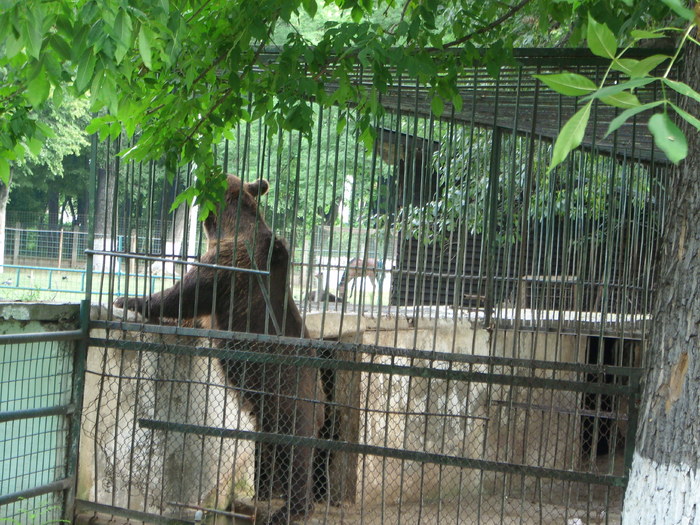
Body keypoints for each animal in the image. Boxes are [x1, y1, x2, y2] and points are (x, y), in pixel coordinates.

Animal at [115, 174, 322, 524]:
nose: (191, 173)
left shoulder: (230, 267)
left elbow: (185, 293)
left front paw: (129, 299)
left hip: (292, 394)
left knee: (296, 453)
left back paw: (288, 509)